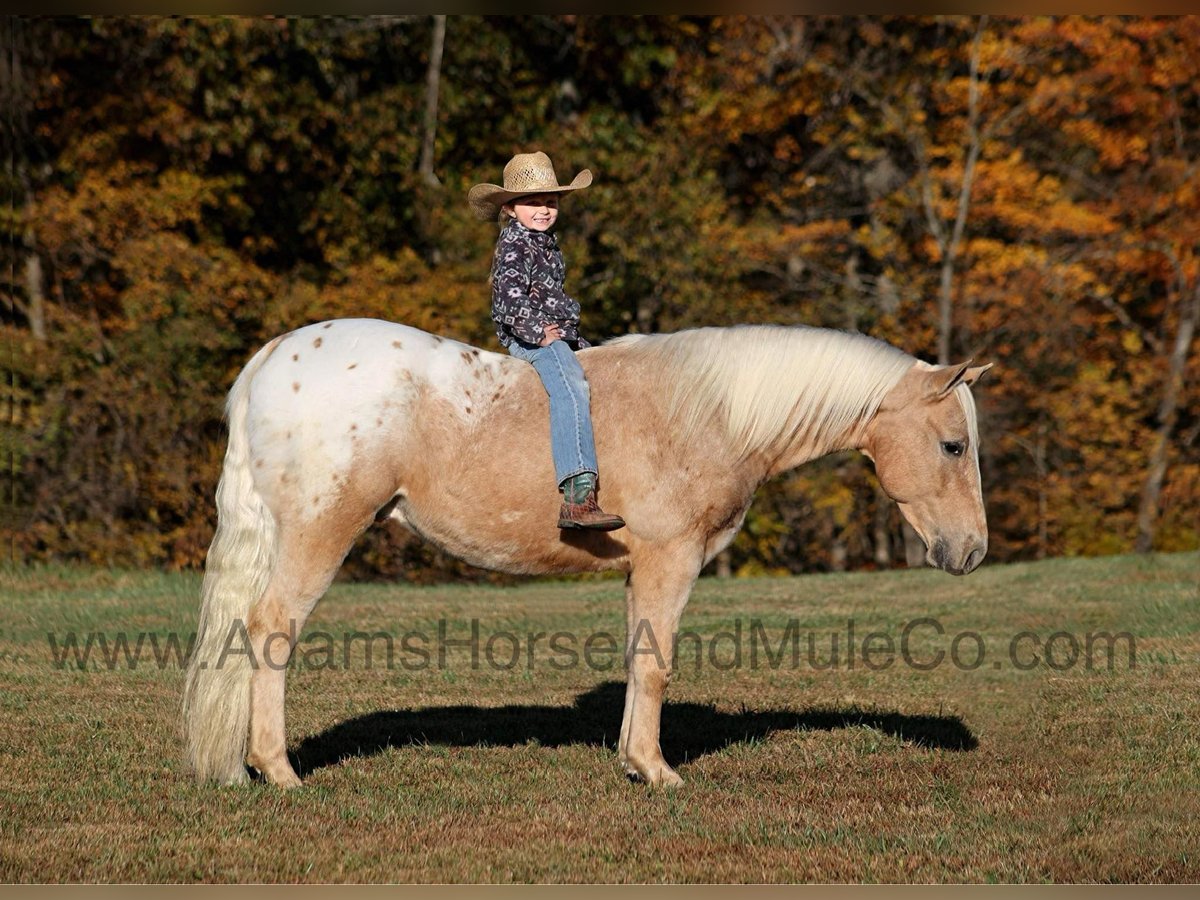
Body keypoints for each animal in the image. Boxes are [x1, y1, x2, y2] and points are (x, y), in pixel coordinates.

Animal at [184, 319, 993, 787]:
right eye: (954, 445)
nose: (972, 550)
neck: (709, 411)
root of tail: (275, 358)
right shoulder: (672, 559)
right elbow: (658, 663)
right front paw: (659, 773)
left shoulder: (643, 570)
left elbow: (640, 658)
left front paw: (634, 760)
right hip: (321, 532)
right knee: (271, 630)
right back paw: (278, 770)